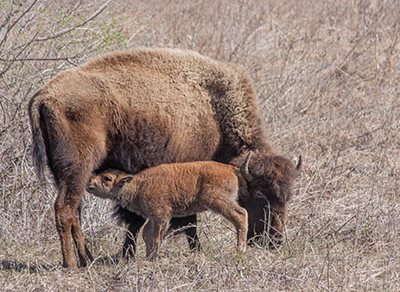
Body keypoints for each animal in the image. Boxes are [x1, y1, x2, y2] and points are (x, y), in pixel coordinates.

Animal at [86, 156, 253, 256]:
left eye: (107, 178)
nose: (89, 184)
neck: (139, 184)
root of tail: (230, 168)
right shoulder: (152, 218)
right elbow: (147, 234)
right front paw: (149, 257)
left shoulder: (161, 216)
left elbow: (156, 237)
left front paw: (155, 256)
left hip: (217, 200)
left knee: (241, 214)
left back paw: (240, 249)